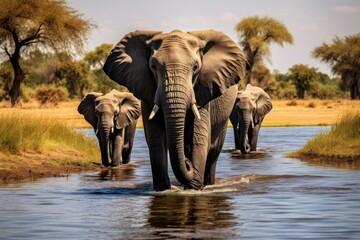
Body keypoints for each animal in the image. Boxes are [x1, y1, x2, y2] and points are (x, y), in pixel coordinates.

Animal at [101, 30, 248, 190]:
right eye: (153, 66)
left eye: (196, 67)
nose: (188, 163)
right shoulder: (147, 90)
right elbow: (156, 138)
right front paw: (163, 189)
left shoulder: (203, 90)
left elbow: (200, 138)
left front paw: (193, 189)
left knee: (213, 154)